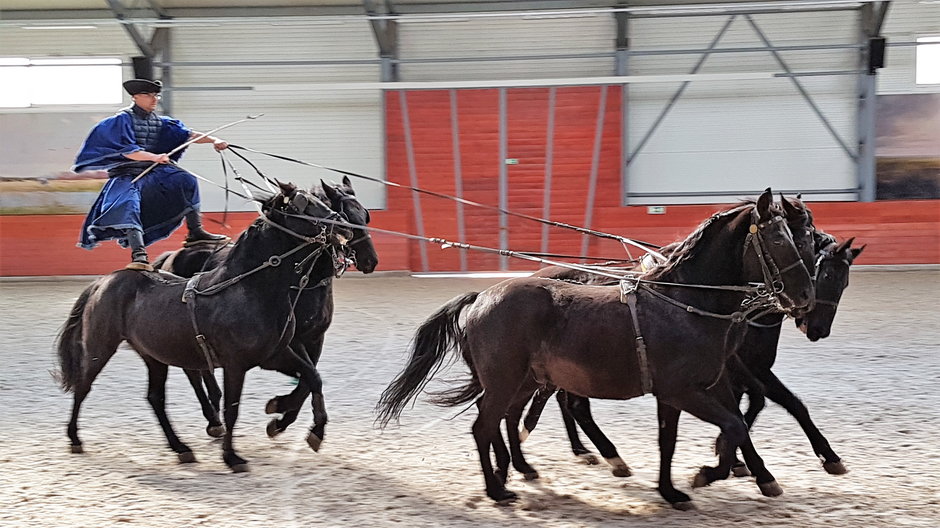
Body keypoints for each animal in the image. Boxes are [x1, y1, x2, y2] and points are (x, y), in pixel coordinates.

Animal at [56, 182, 356, 470]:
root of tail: (103, 281)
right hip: (100, 347)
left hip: (153, 356)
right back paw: (74, 438)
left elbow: (312, 378)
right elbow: (232, 408)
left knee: (156, 398)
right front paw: (232, 457)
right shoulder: (236, 364)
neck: (251, 290)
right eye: (304, 206)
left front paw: (311, 429)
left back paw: (181, 448)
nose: (344, 226)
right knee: (84, 386)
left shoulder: (276, 354)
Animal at [152, 177, 380, 442]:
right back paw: (213, 419)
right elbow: (306, 378)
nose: (370, 260)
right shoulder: (292, 342)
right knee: (192, 372)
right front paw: (281, 411)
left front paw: (286, 419)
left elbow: (309, 379)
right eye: (346, 215)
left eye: (364, 216)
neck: (304, 282)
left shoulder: (314, 339)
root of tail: (173, 255)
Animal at [374, 189, 816, 508]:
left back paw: (515, 471)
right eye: (780, 239)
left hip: (523, 382)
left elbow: (683, 437)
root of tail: (482, 297)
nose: (804, 296)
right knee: (486, 426)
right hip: (506, 381)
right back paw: (500, 490)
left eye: (806, 239)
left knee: (504, 420)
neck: (686, 302)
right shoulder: (684, 391)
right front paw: (706, 474)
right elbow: (734, 426)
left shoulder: (697, 388)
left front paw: (675, 489)